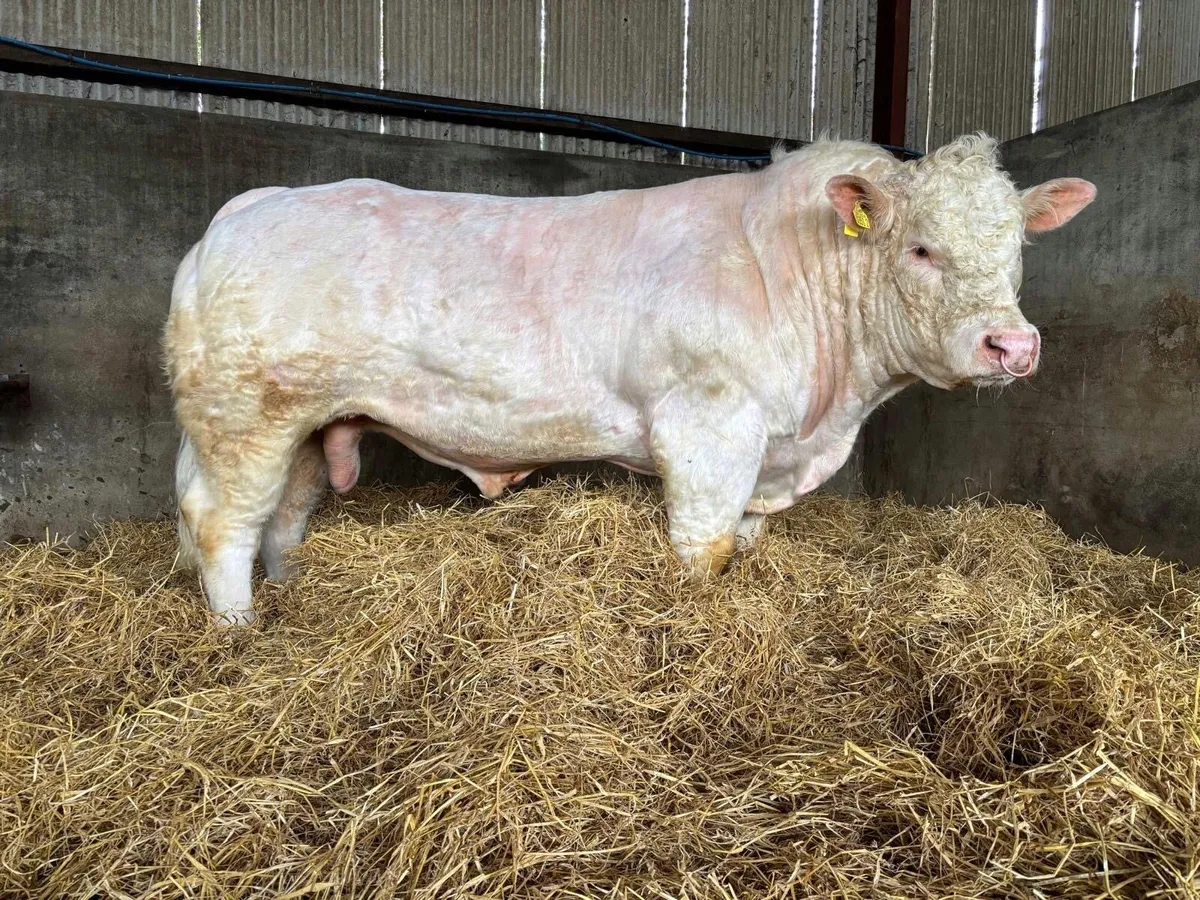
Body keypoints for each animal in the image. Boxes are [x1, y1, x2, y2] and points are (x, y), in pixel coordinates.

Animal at [164, 133, 1096, 625]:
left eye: (1018, 246)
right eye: (922, 249)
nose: (1011, 345)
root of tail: (247, 207)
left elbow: (742, 545)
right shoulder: (708, 425)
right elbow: (704, 548)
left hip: (306, 424)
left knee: (279, 521)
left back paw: (285, 601)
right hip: (246, 416)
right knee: (222, 522)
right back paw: (240, 630)